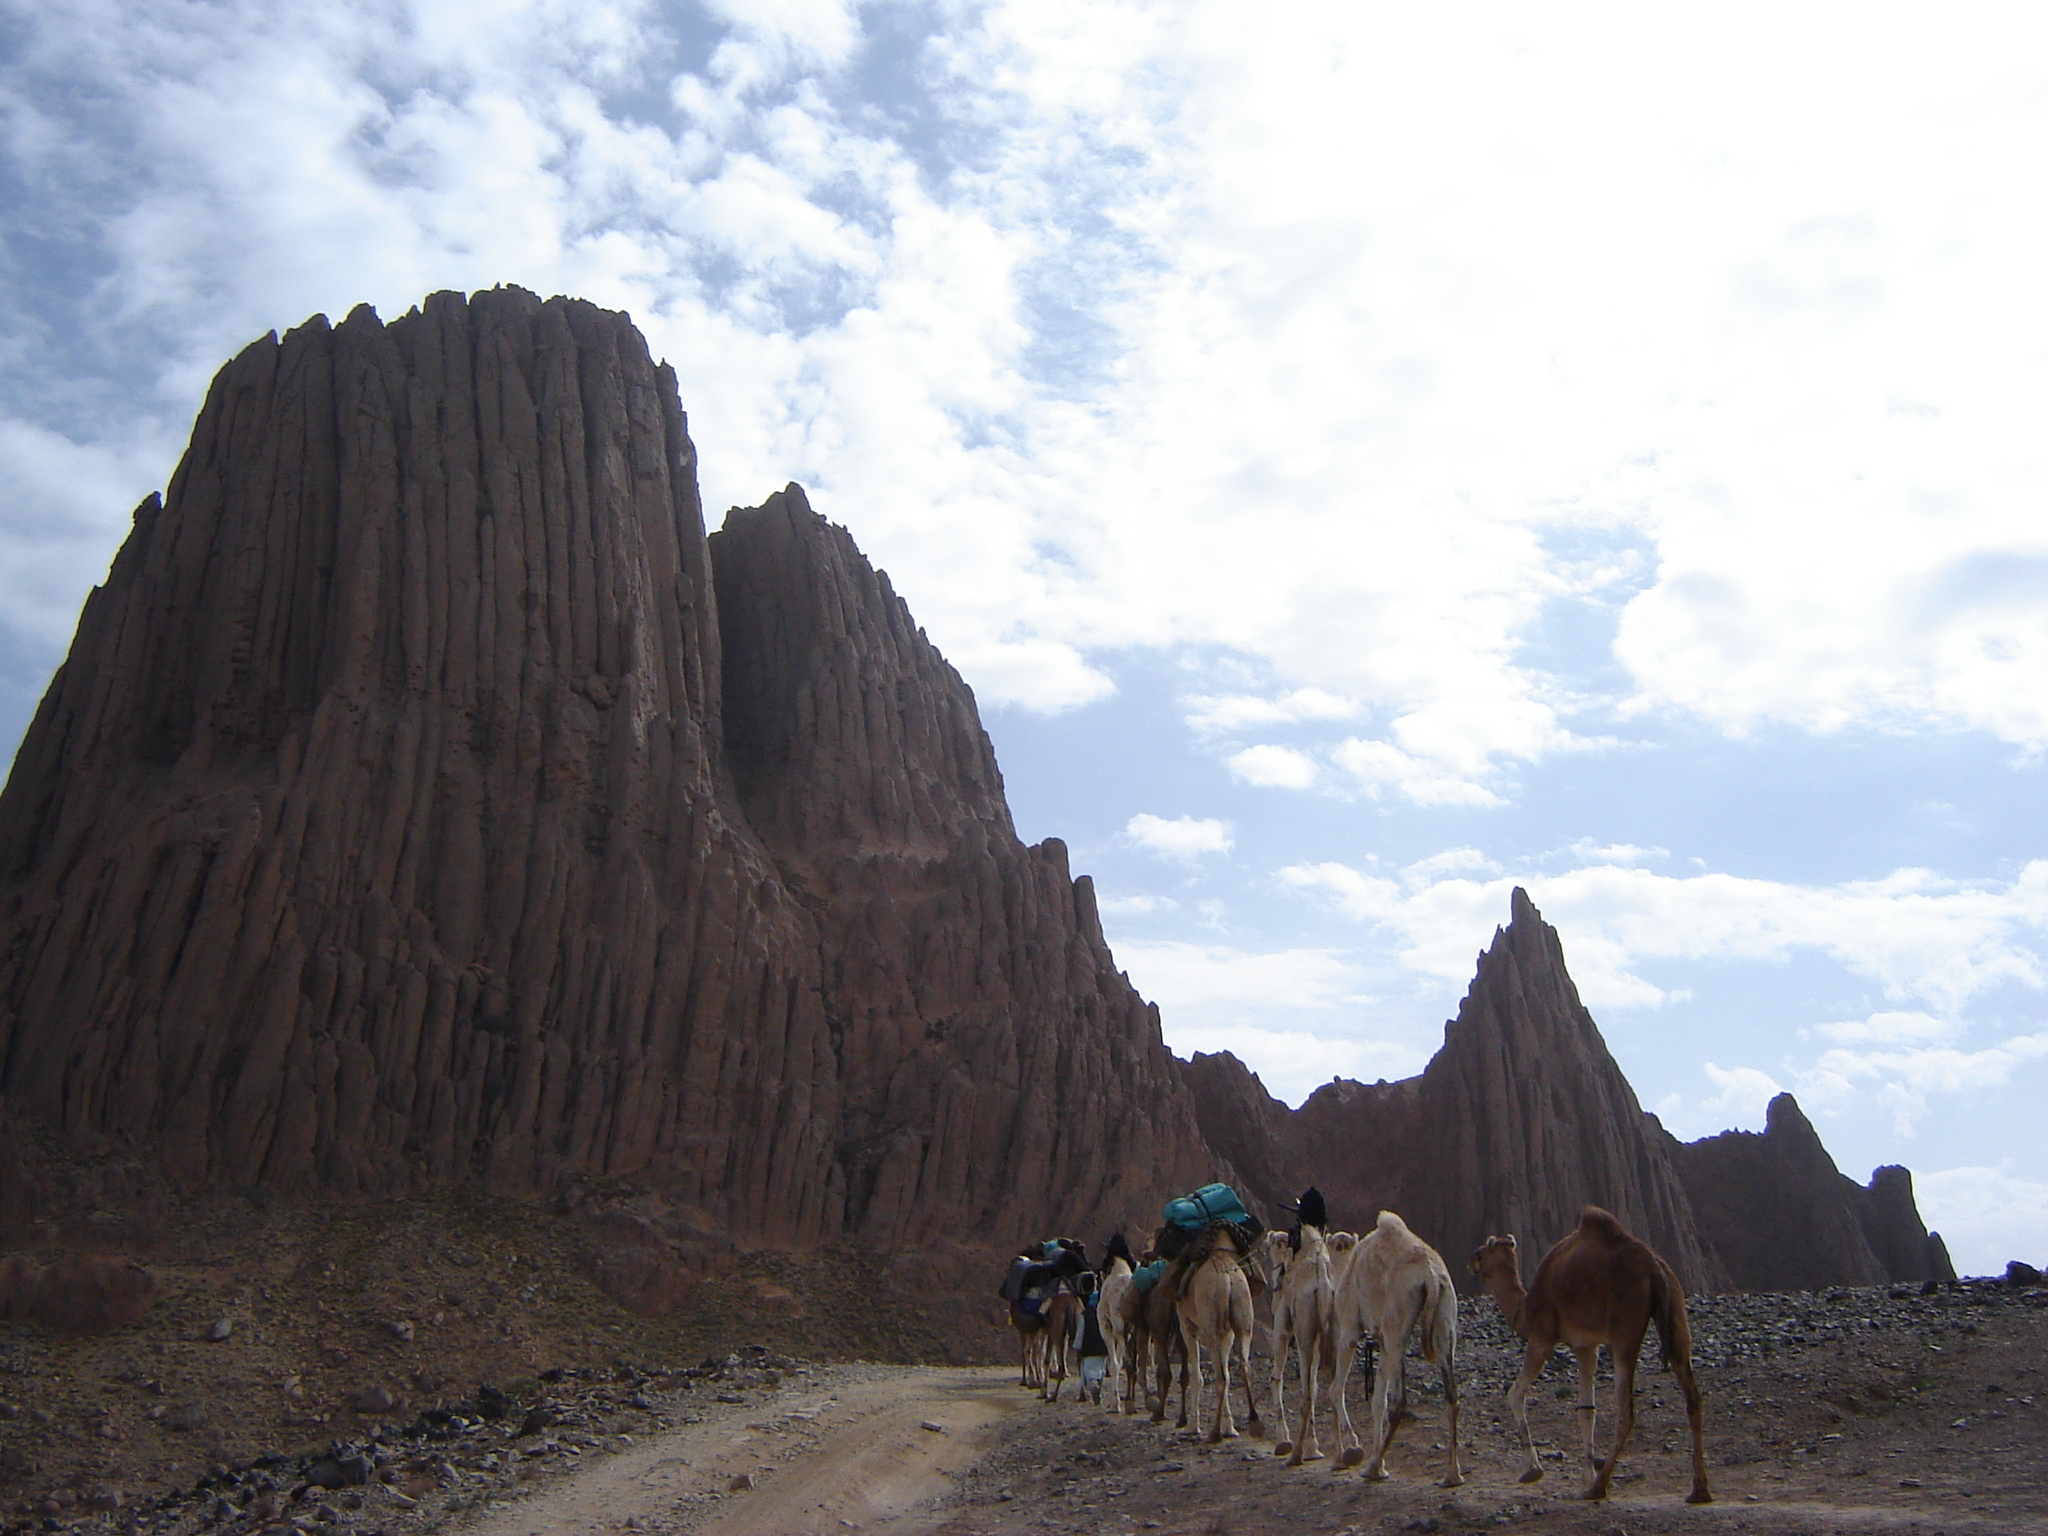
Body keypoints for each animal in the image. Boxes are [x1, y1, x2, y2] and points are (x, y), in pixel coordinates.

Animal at [1171, 1220, 1261, 1449]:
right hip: (1242, 1318)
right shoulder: (1227, 1332)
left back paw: (1214, 1433)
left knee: (1219, 1376)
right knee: (1243, 1367)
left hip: (1211, 1327)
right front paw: (1230, 1427)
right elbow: (1228, 1374)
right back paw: (1253, 1423)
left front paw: (1193, 1426)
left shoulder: (1186, 1324)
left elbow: (1196, 1375)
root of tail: (1227, 1277)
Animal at [1335, 1212, 1466, 1490]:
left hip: (1398, 1321)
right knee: (1452, 1395)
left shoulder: (1350, 1327)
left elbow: (1336, 1389)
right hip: (1445, 1318)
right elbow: (1377, 1400)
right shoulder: (1382, 1341)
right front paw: (1377, 1463)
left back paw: (1371, 1468)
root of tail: (1431, 1277)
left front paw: (1352, 1451)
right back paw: (1452, 1475)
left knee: (1399, 1401)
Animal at [1474, 1212, 1712, 1507]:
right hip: (1676, 1309)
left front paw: (1534, 1471)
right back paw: (1699, 1491)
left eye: (1481, 1252)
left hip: (1623, 1327)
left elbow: (1515, 1394)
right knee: (1693, 1398)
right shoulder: (1586, 1345)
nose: (1471, 1262)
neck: (1524, 1309)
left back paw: (1599, 1487)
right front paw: (1585, 1476)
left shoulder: (1542, 1337)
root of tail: (1655, 1268)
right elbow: (1586, 1410)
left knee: (1626, 1412)